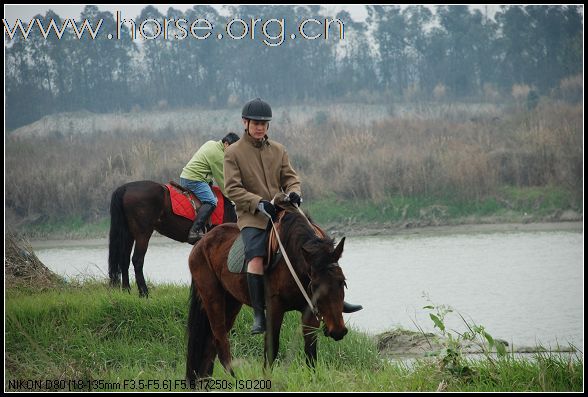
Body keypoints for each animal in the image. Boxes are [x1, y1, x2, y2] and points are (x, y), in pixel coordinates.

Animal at [107, 181, 235, 296]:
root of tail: (126, 188)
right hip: (143, 233)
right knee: (137, 260)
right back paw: (144, 292)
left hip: (128, 234)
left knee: (124, 259)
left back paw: (126, 290)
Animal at [186, 210, 346, 380]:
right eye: (315, 286)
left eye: (342, 281)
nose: (338, 331)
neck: (292, 263)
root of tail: (200, 243)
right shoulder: (275, 307)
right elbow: (272, 347)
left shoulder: (309, 310)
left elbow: (310, 349)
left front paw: (312, 379)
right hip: (212, 297)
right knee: (219, 340)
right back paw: (234, 378)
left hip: (231, 302)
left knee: (210, 343)